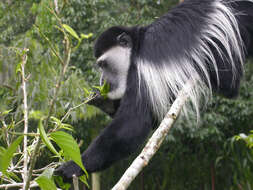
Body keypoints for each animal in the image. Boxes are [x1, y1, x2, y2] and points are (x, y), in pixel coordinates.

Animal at [56, 0, 253, 180]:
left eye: (104, 65)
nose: (102, 80)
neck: (136, 46)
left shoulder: (142, 69)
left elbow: (132, 124)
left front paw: (74, 165)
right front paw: (102, 101)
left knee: (229, 80)